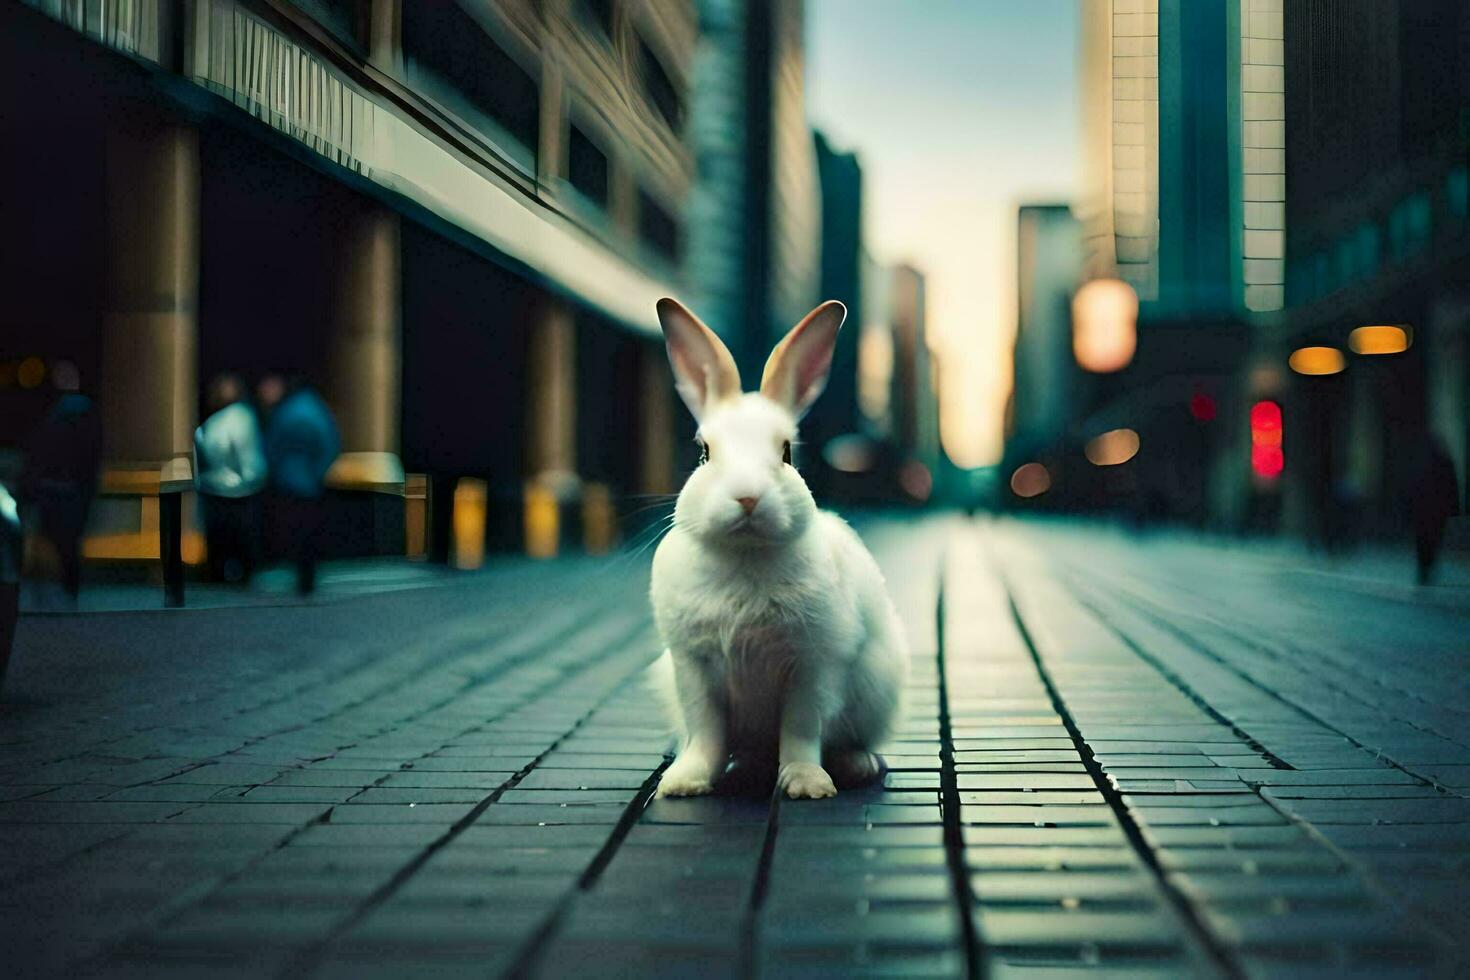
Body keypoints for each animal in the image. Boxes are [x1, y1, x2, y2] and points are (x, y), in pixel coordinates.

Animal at [652, 296, 905, 799]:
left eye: (787, 451)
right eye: (704, 452)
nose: (747, 497)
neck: (745, 555)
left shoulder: (814, 665)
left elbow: (802, 728)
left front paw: (807, 785)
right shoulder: (692, 666)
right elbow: (705, 729)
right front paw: (686, 782)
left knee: (849, 740)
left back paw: (856, 766)